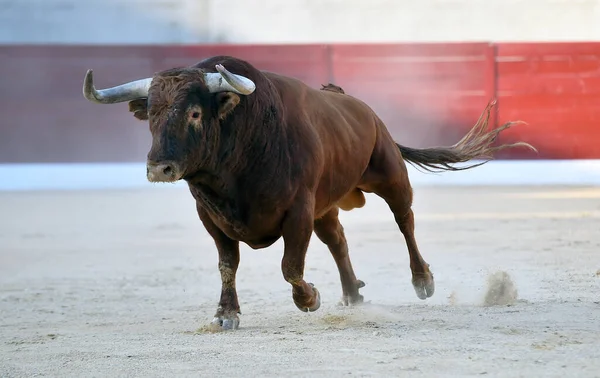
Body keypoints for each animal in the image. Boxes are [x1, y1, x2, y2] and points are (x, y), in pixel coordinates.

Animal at [81, 54, 536, 330]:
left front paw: (310, 299)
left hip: (389, 174)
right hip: (326, 206)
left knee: (404, 220)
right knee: (338, 240)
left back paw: (422, 281)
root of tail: (360, 106)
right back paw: (352, 294)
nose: (159, 168)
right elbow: (228, 264)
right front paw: (226, 314)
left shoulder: (298, 210)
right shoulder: (211, 217)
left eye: (194, 113)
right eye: (151, 117)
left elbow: (291, 266)